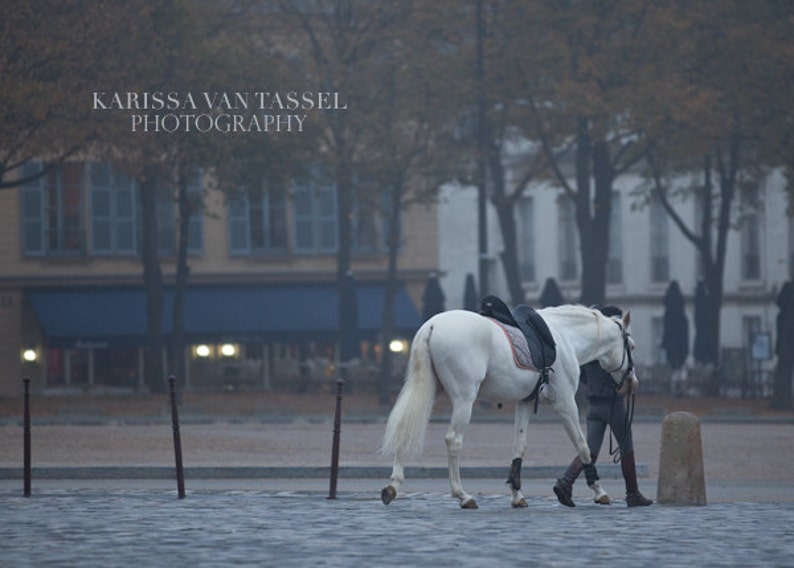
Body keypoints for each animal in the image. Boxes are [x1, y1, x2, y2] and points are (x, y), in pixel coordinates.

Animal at [378, 306, 636, 510]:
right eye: (631, 346)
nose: (632, 383)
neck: (565, 338)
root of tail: (432, 325)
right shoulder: (565, 403)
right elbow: (583, 446)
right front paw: (598, 491)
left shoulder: (524, 403)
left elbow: (519, 447)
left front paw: (517, 494)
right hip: (464, 398)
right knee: (453, 440)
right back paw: (462, 495)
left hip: (428, 388)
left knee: (405, 427)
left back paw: (393, 485)